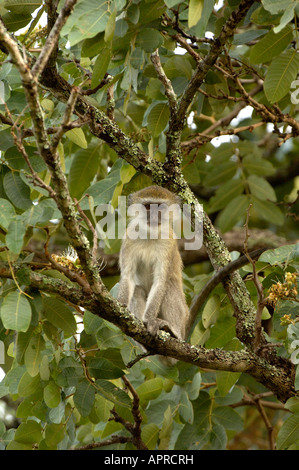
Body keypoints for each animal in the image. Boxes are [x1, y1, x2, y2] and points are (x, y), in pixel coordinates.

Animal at [118, 185, 190, 344]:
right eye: (147, 207)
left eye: (160, 207)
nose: (153, 217)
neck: (150, 235)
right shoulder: (129, 239)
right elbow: (128, 277)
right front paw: (121, 307)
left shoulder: (168, 243)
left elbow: (161, 281)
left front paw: (150, 320)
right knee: (137, 290)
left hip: (183, 317)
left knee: (169, 285)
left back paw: (174, 333)